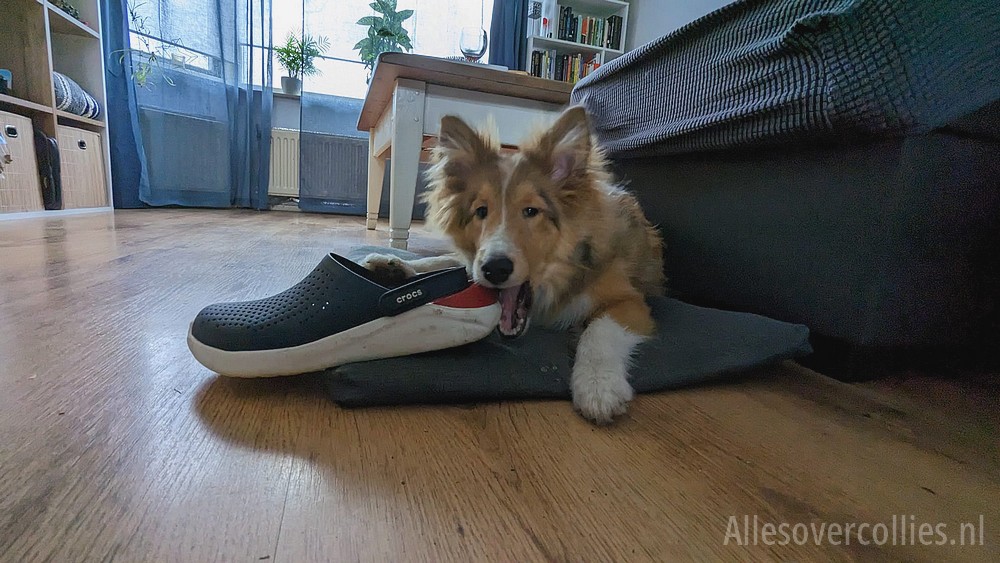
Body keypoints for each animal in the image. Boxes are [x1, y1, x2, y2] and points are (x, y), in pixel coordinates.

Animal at [366, 106, 664, 426]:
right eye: (481, 211)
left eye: (531, 211)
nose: (494, 269)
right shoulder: (475, 266)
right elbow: (448, 265)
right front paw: (394, 264)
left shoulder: (629, 299)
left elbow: (599, 330)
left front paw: (598, 387)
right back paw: (391, 265)